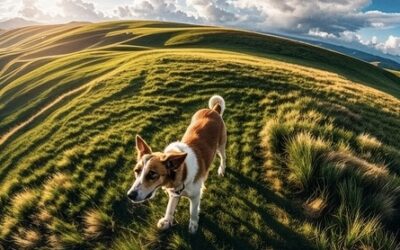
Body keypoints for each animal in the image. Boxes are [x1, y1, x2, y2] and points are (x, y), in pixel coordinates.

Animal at [126, 95, 227, 232]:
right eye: (137, 171)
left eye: (152, 174)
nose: (130, 195)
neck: (182, 170)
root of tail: (213, 110)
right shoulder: (174, 194)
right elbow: (170, 208)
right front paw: (167, 220)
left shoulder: (195, 196)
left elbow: (193, 211)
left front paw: (193, 224)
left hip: (221, 146)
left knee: (223, 158)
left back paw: (221, 169)